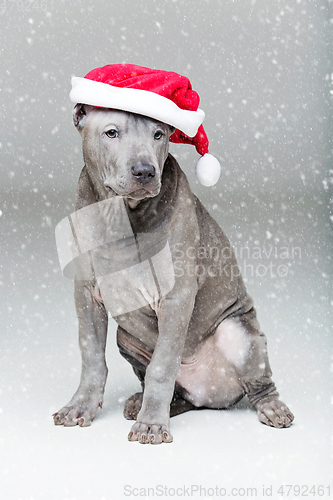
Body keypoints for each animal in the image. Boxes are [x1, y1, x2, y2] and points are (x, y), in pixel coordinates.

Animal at [53, 103, 294, 444]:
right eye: (111, 132)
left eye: (159, 134)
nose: (145, 171)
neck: (120, 214)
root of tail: (209, 396)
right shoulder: (86, 294)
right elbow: (92, 356)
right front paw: (80, 406)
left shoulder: (175, 297)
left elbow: (162, 366)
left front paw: (152, 425)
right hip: (127, 338)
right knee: (178, 394)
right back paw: (140, 402)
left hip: (239, 334)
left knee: (257, 383)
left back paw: (272, 407)